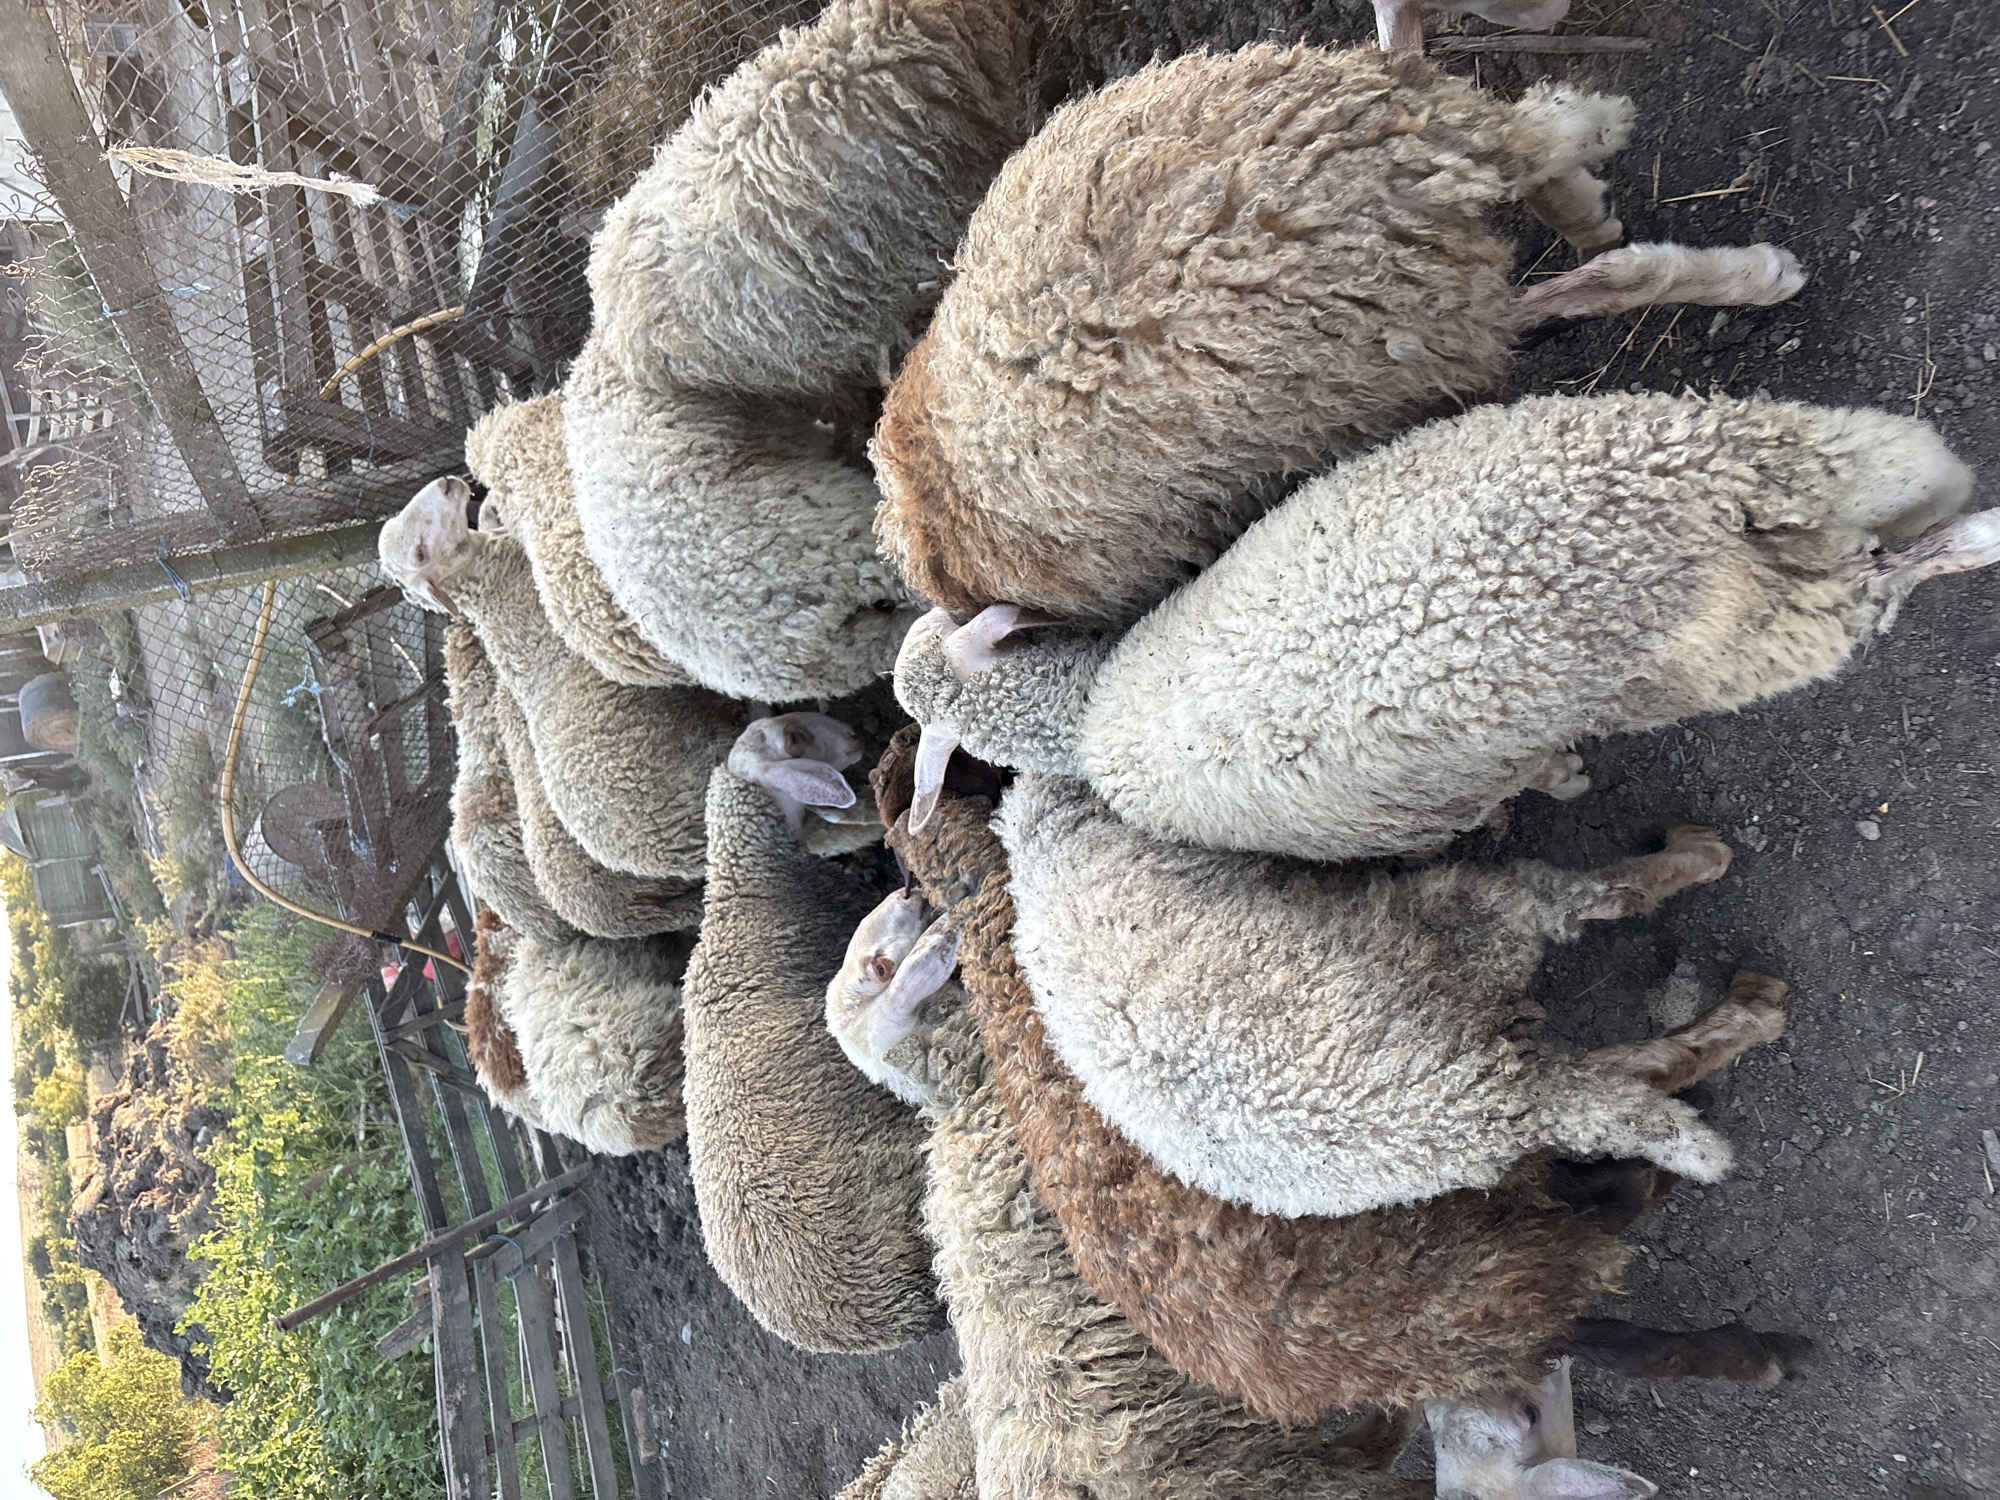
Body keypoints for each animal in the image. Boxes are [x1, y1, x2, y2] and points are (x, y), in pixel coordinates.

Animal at [897, 391, 2000, 859]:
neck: (1086, 716)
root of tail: (1672, 495)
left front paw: (1563, 780)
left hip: (1729, 644)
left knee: (1879, 583)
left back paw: (1967, 546)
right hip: (1746, 445)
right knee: (1888, 461)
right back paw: (1956, 504)